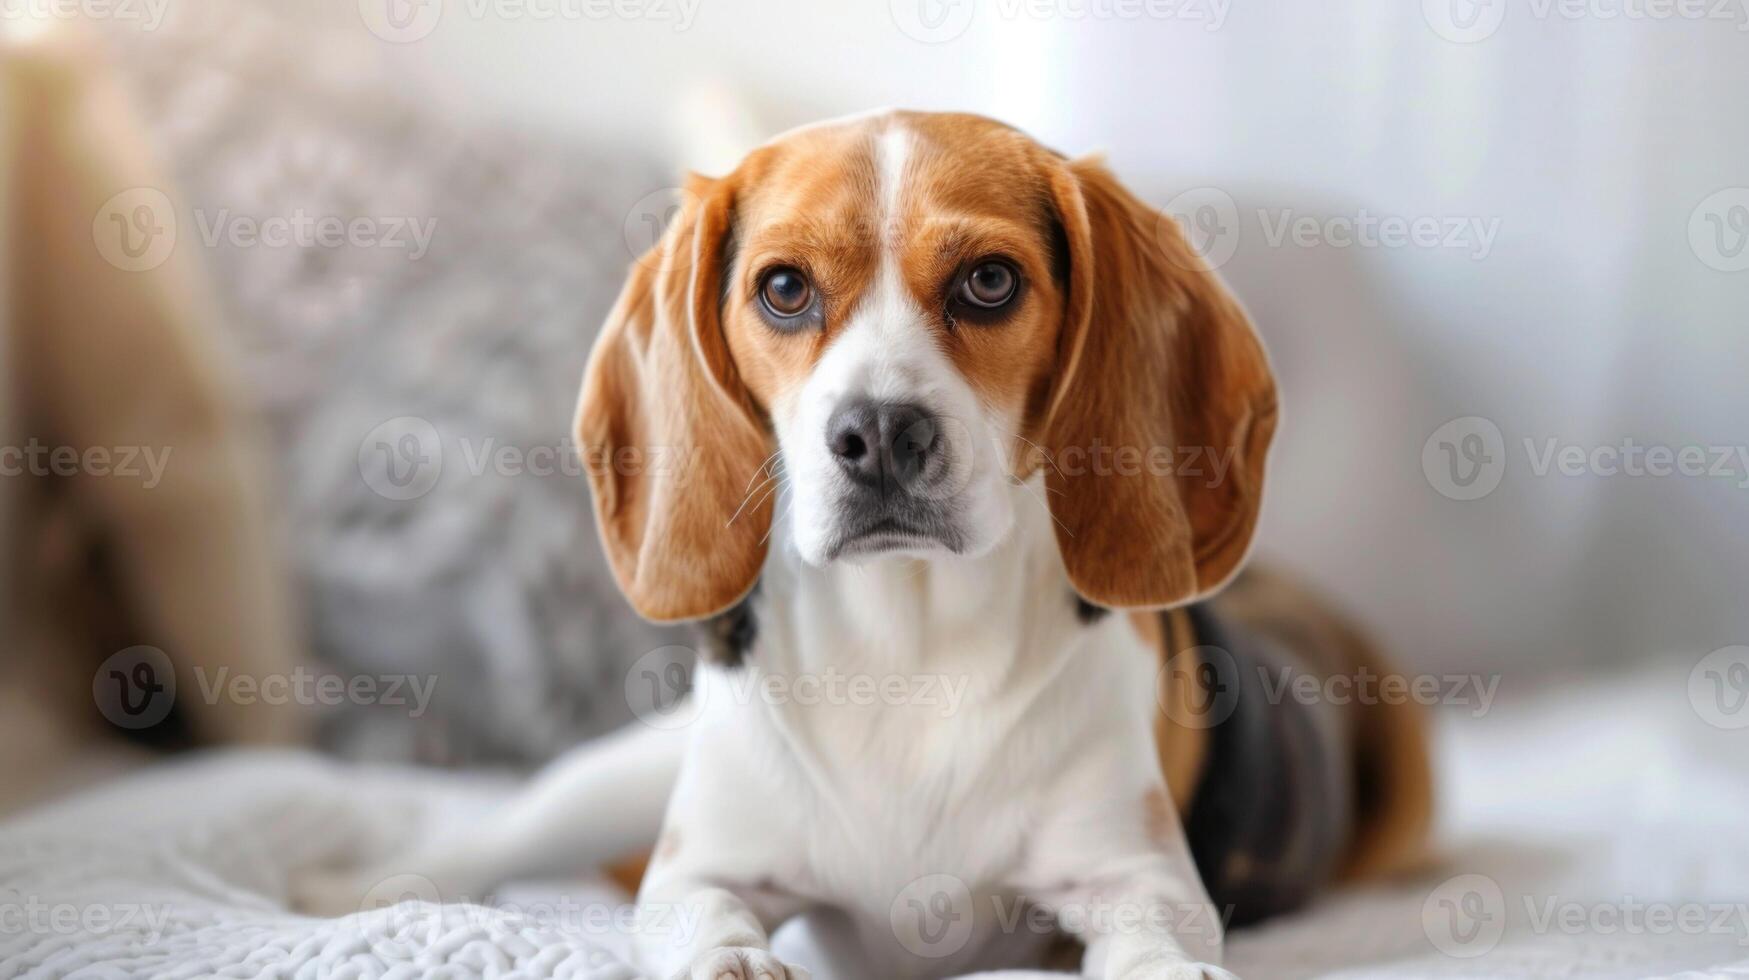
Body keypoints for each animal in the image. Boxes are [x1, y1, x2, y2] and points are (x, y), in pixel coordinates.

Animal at [300, 108, 1427, 980]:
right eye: (784, 288)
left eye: (988, 281)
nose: (881, 432)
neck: (905, 644)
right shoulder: (698, 864)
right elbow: (701, 912)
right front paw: (733, 961)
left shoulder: (1134, 871)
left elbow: (1152, 936)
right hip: (623, 771)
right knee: (501, 829)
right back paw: (349, 884)